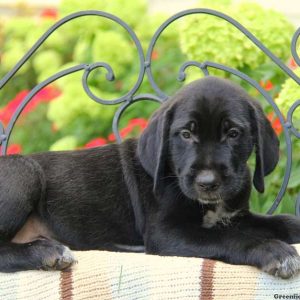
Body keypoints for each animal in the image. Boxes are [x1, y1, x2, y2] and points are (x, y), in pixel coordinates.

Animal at [0, 75, 300, 278]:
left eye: (233, 133)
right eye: (185, 134)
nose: (207, 183)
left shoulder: (235, 216)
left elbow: (278, 221)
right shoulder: (167, 234)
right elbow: (229, 239)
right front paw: (273, 250)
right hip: (25, 171)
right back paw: (48, 252)